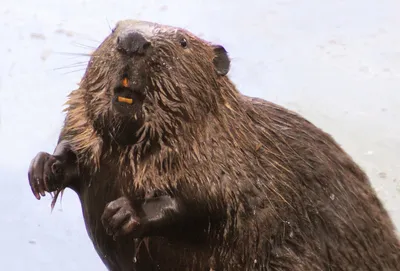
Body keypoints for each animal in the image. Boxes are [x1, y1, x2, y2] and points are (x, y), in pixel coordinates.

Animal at [28, 20, 400, 270]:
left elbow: (214, 204)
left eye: (183, 42)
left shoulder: (236, 160)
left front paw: (123, 212)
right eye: (114, 28)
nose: (132, 40)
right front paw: (43, 169)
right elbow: (76, 148)